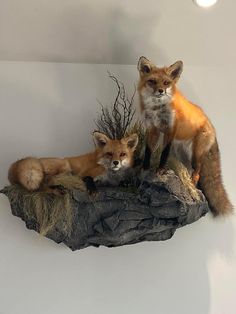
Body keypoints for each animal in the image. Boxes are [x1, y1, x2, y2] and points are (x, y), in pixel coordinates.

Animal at [8, 131, 139, 194]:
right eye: (109, 154)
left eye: (122, 154)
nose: (116, 162)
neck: (111, 175)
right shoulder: (84, 174)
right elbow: (88, 179)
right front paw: (92, 189)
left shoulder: (110, 183)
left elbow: (122, 183)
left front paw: (127, 183)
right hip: (65, 167)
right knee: (43, 183)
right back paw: (57, 188)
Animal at [137, 55, 233, 216]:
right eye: (152, 81)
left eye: (166, 83)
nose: (161, 91)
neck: (157, 109)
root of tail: (212, 127)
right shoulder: (152, 129)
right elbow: (149, 151)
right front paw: (144, 168)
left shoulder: (170, 129)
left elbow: (164, 153)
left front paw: (161, 169)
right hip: (183, 154)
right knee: (187, 170)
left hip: (196, 155)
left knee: (198, 173)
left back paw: (193, 188)